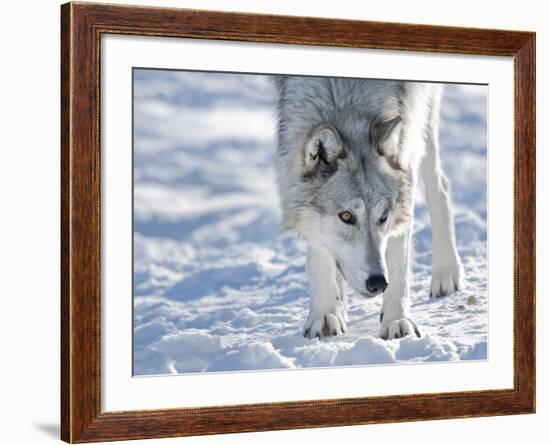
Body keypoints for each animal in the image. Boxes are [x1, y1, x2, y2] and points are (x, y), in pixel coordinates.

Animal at [274, 77, 464, 340]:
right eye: (346, 216)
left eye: (383, 216)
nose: (378, 283)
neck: (346, 100)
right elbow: (319, 249)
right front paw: (325, 314)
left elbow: (398, 256)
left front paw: (396, 321)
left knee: (440, 186)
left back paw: (446, 273)